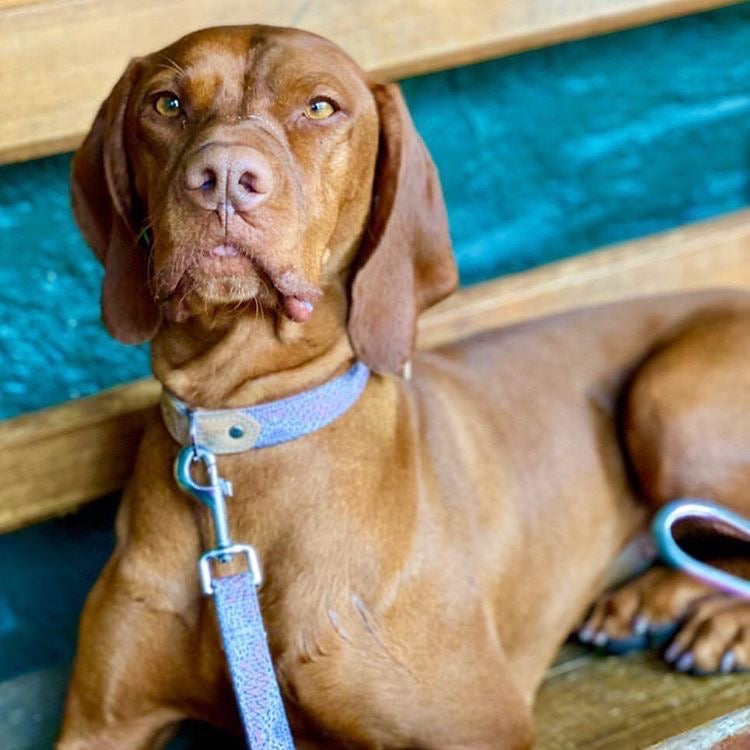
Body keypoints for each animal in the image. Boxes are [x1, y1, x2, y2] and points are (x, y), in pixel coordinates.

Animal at [61, 23, 750, 750]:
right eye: (166, 104)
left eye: (321, 107)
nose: (221, 177)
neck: (245, 425)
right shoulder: (100, 728)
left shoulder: (476, 725)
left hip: (668, 407)